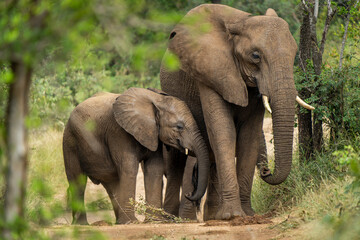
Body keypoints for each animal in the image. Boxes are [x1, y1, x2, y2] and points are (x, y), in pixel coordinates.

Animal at [62, 87, 208, 224]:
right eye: (179, 126)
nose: (189, 194)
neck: (156, 100)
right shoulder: (119, 132)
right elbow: (129, 167)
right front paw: (131, 222)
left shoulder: (152, 135)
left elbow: (155, 169)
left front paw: (154, 221)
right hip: (70, 140)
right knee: (77, 181)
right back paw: (82, 224)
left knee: (111, 184)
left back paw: (117, 222)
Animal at [161, 4, 316, 221]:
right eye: (255, 56)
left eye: (295, 55)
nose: (266, 172)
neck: (242, 21)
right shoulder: (210, 71)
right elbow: (223, 131)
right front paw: (233, 216)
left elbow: (249, 135)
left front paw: (247, 215)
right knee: (179, 159)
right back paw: (182, 219)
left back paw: (212, 217)